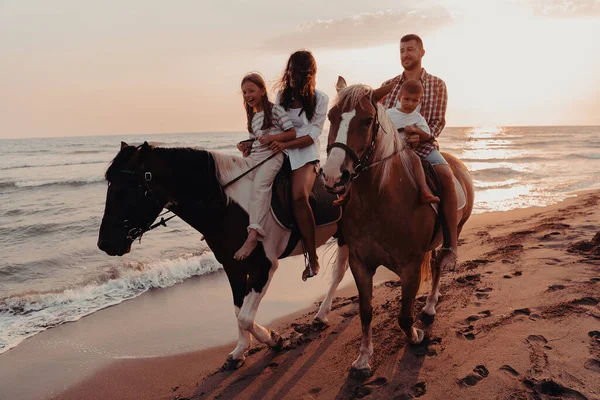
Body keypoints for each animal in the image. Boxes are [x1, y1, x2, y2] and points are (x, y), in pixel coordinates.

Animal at [98, 143, 342, 368]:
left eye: (127, 188)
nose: (104, 243)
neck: (227, 208)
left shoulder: (264, 266)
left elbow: (245, 317)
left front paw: (273, 339)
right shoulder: (232, 266)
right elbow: (238, 311)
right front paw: (241, 350)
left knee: (338, 273)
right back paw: (321, 316)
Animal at [322, 77, 476, 378]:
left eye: (367, 121)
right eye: (331, 117)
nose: (334, 176)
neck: (379, 200)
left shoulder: (410, 267)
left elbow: (405, 315)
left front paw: (415, 336)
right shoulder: (360, 263)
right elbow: (366, 311)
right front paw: (363, 359)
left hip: (457, 227)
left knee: (439, 264)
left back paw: (430, 306)